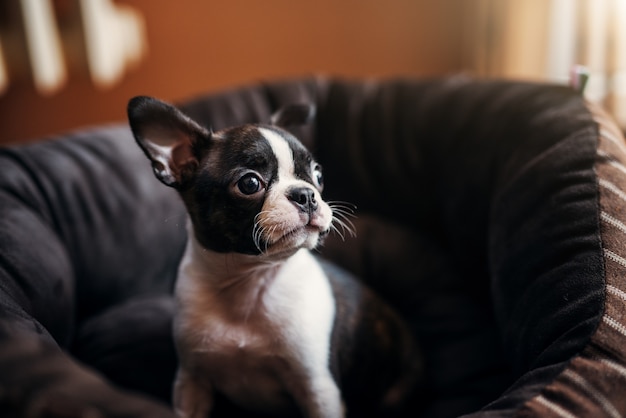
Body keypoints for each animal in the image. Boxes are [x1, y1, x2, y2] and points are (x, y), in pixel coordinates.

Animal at [127, 96, 422, 416]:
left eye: (318, 175)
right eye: (250, 184)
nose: (306, 195)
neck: (250, 283)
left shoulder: (318, 389)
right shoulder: (191, 382)